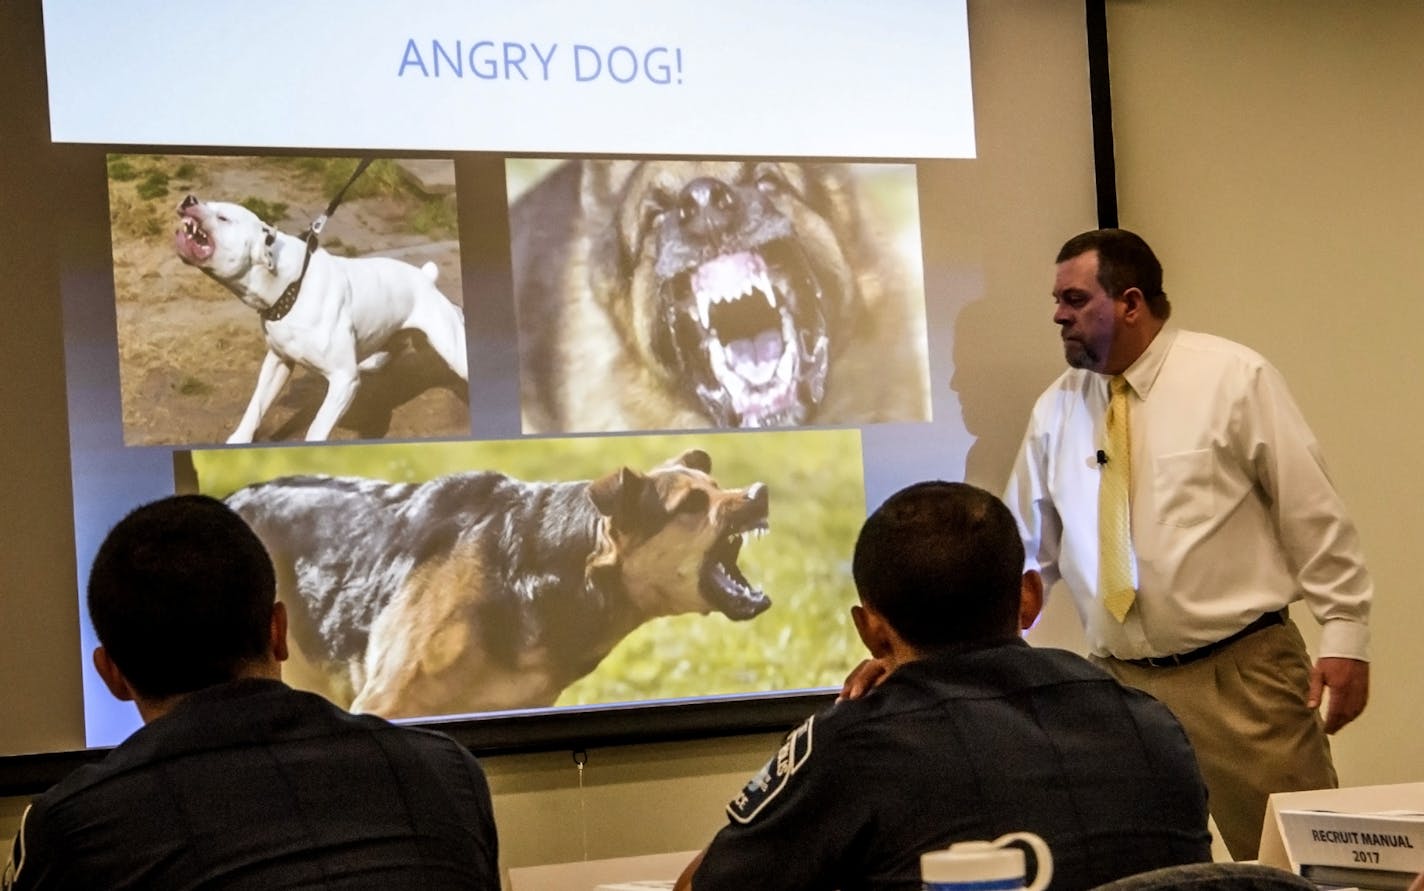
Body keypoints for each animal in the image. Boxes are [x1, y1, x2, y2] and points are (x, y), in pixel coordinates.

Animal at [174, 196, 467, 441]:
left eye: (223, 217)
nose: (189, 199)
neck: (293, 286)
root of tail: (426, 278)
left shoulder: (343, 381)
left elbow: (316, 429)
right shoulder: (278, 361)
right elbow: (255, 406)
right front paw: (240, 440)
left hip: (453, 348)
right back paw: (375, 361)